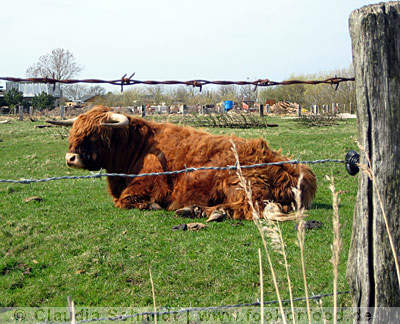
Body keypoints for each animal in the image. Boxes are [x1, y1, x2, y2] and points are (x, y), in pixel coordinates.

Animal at [50, 105, 318, 220]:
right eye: (74, 132)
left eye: (95, 134)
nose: (70, 158)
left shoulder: (151, 186)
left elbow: (125, 200)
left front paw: (150, 206)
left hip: (238, 181)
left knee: (249, 208)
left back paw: (208, 211)